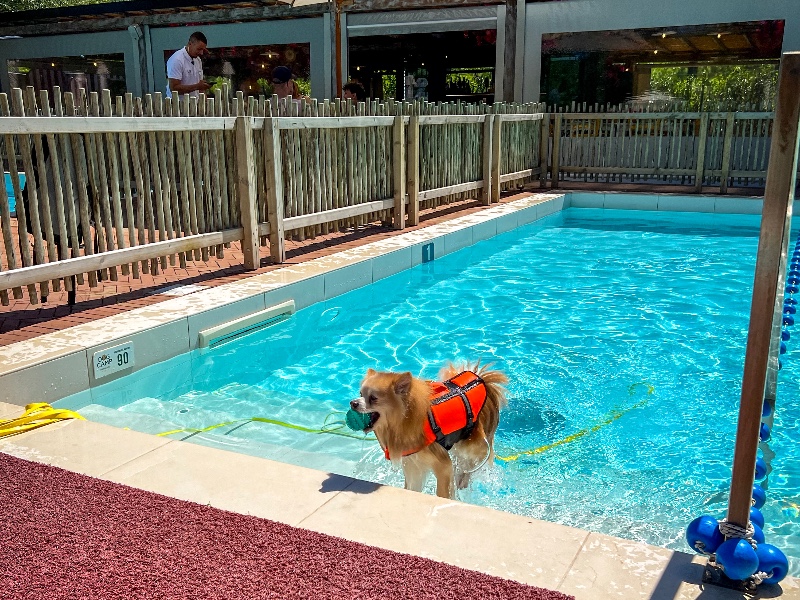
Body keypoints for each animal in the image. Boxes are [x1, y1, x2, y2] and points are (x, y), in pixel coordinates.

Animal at [350, 364, 506, 500]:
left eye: (373, 398)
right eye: (360, 393)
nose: (353, 403)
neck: (402, 421)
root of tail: (483, 381)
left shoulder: (442, 464)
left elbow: (443, 491)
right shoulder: (413, 463)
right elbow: (412, 487)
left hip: (473, 442)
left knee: (477, 459)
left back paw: (463, 478)